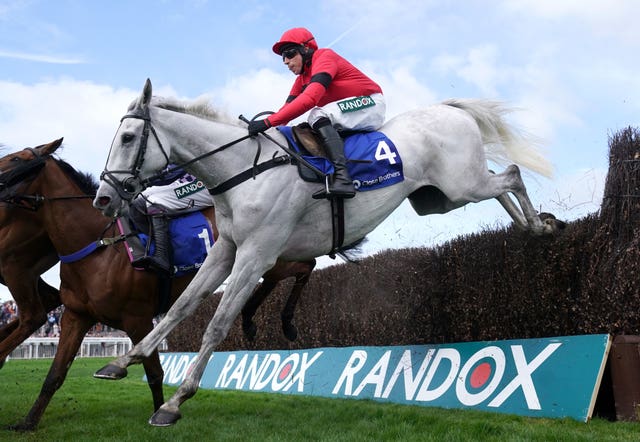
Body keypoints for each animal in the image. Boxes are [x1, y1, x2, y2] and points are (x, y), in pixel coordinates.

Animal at [0, 140, 312, 430]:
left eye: (16, 159)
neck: (99, 245)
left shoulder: (137, 319)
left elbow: (154, 372)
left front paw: (161, 411)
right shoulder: (77, 316)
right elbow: (55, 374)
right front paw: (27, 422)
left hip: (269, 252)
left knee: (305, 266)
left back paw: (286, 323)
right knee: (282, 274)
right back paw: (248, 318)